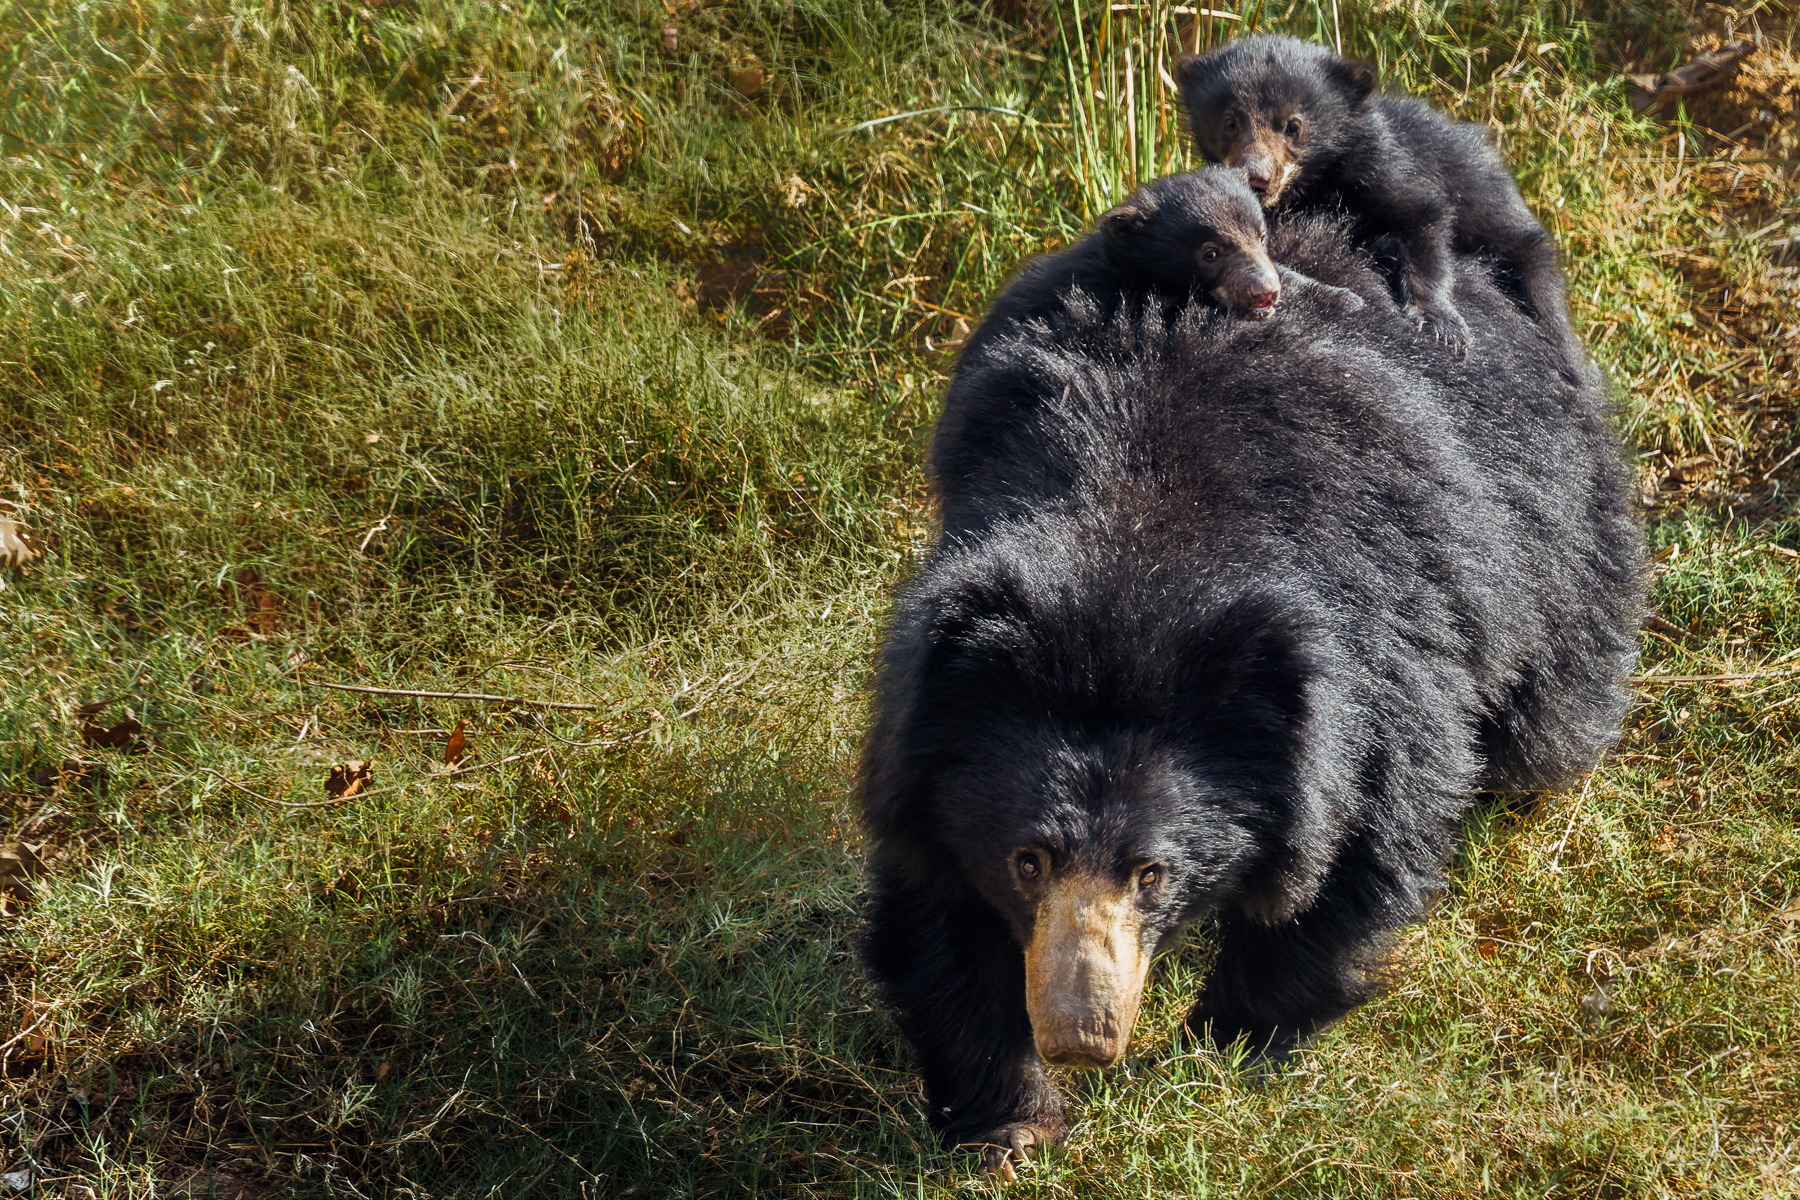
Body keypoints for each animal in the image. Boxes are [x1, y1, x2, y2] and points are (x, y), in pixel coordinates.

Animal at [858, 213, 1643, 1178]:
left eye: (1152, 874)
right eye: (1028, 860)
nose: (1083, 1037)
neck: (1132, 590)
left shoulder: (1368, 678)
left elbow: (1356, 852)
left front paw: (1216, 1056)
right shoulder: (931, 721)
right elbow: (935, 904)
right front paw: (1009, 1127)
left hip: (1548, 520)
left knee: (1553, 697)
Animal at [1177, 34, 1580, 372]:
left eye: (1292, 125)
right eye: (1230, 121)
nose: (1256, 176)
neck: (1312, 183)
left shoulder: (1381, 163)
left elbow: (1421, 216)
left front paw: (1441, 327)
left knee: (1539, 275)